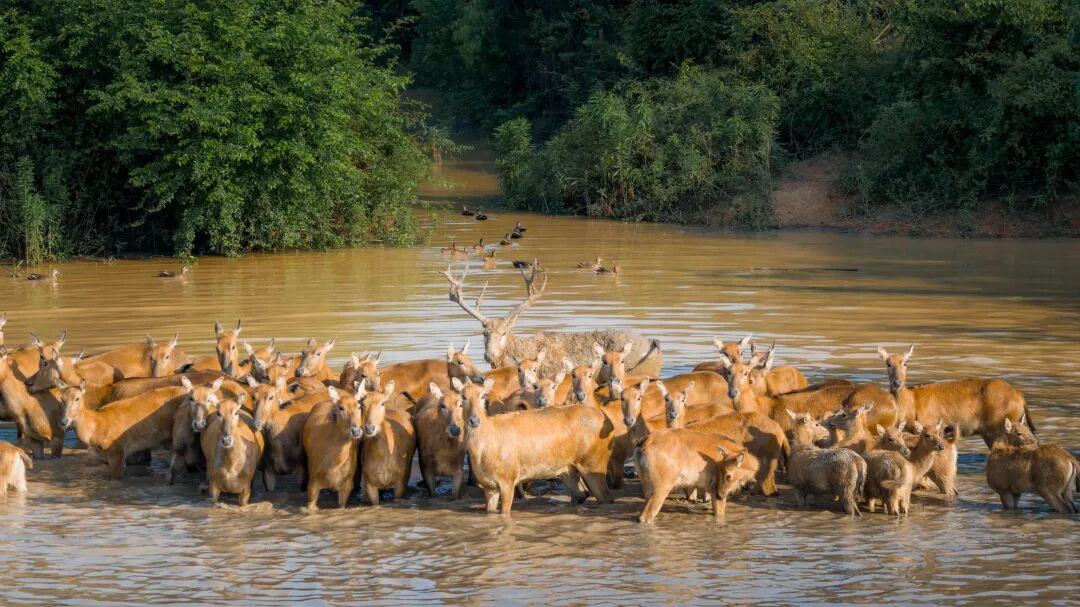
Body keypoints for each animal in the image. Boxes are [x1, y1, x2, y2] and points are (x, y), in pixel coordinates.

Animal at [878, 344, 1033, 446]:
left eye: (905, 363)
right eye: (888, 364)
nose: (897, 382)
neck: (910, 403)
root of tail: (1020, 397)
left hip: (998, 429)